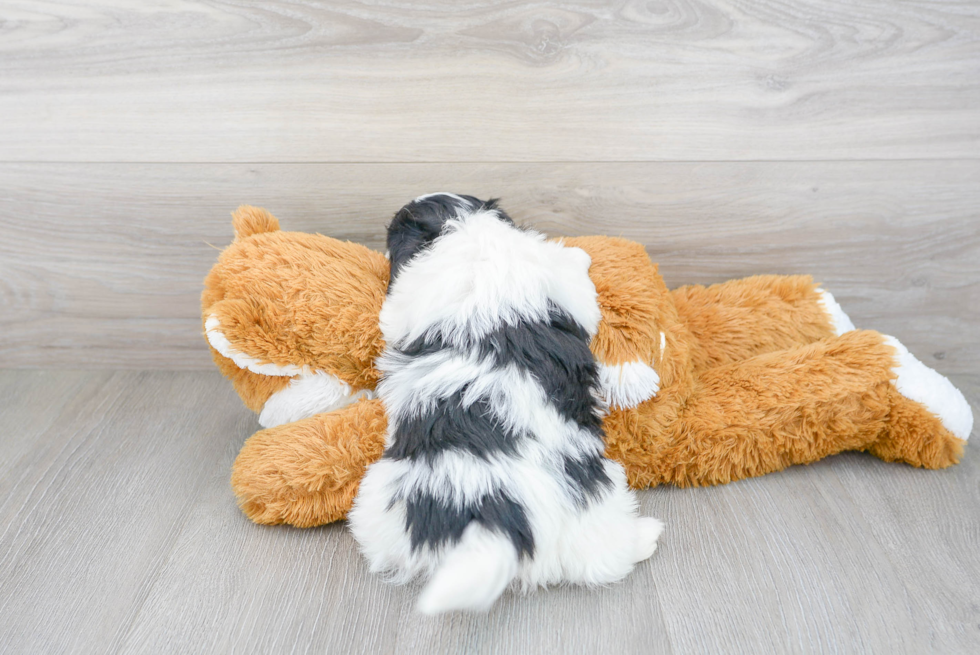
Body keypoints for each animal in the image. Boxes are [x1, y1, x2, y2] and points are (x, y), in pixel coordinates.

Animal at [348, 193, 664, 616]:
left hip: (378, 506)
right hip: (597, 501)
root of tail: (494, 515)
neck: (465, 230)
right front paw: (580, 253)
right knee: (605, 556)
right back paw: (646, 536)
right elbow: (574, 273)